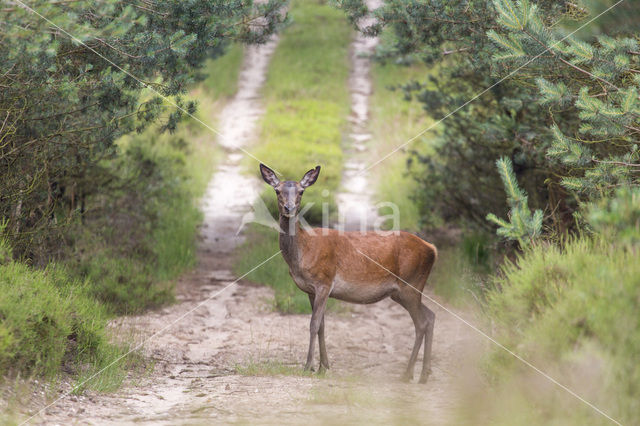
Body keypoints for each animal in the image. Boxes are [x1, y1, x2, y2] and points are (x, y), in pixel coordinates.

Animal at [260, 163, 440, 382]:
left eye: (301, 191)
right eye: (277, 191)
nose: (289, 208)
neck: (303, 252)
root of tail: (432, 249)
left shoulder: (325, 281)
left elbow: (313, 324)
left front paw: (308, 366)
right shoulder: (311, 290)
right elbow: (322, 325)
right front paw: (323, 366)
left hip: (410, 284)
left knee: (421, 322)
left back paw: (408, 374)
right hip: (403, 292)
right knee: (430, 316)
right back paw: (423, 373)